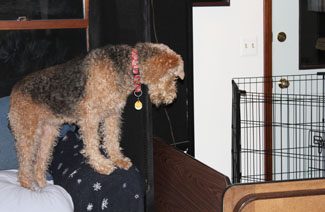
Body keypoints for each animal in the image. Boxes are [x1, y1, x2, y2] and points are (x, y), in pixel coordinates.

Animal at [7, 43, 184, 189]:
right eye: (174, 77)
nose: (171, 98)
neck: (127, 66)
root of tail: (14, 90)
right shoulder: (90, 117)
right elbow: (93, 144)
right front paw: (102, 165)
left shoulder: (112, 114)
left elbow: (112, 139)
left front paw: (118, 159)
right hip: (28, 133)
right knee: (24, 164)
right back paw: (28, 187)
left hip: (48, 133)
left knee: (39, 163)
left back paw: (42, 185)